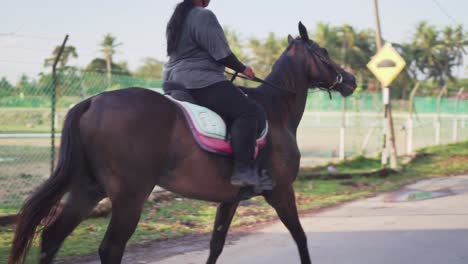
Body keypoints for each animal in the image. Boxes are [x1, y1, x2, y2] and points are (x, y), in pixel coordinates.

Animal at [9, 22, 354, 264]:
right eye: (323, 52)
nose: (350, 80)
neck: (275, 109)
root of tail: (92, 101)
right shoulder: (281, 191)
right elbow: (301, 237)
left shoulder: (230, 199)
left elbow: (216, 245)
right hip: (130, 196)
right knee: (110, 248)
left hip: (87, 189)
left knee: (51, 239)